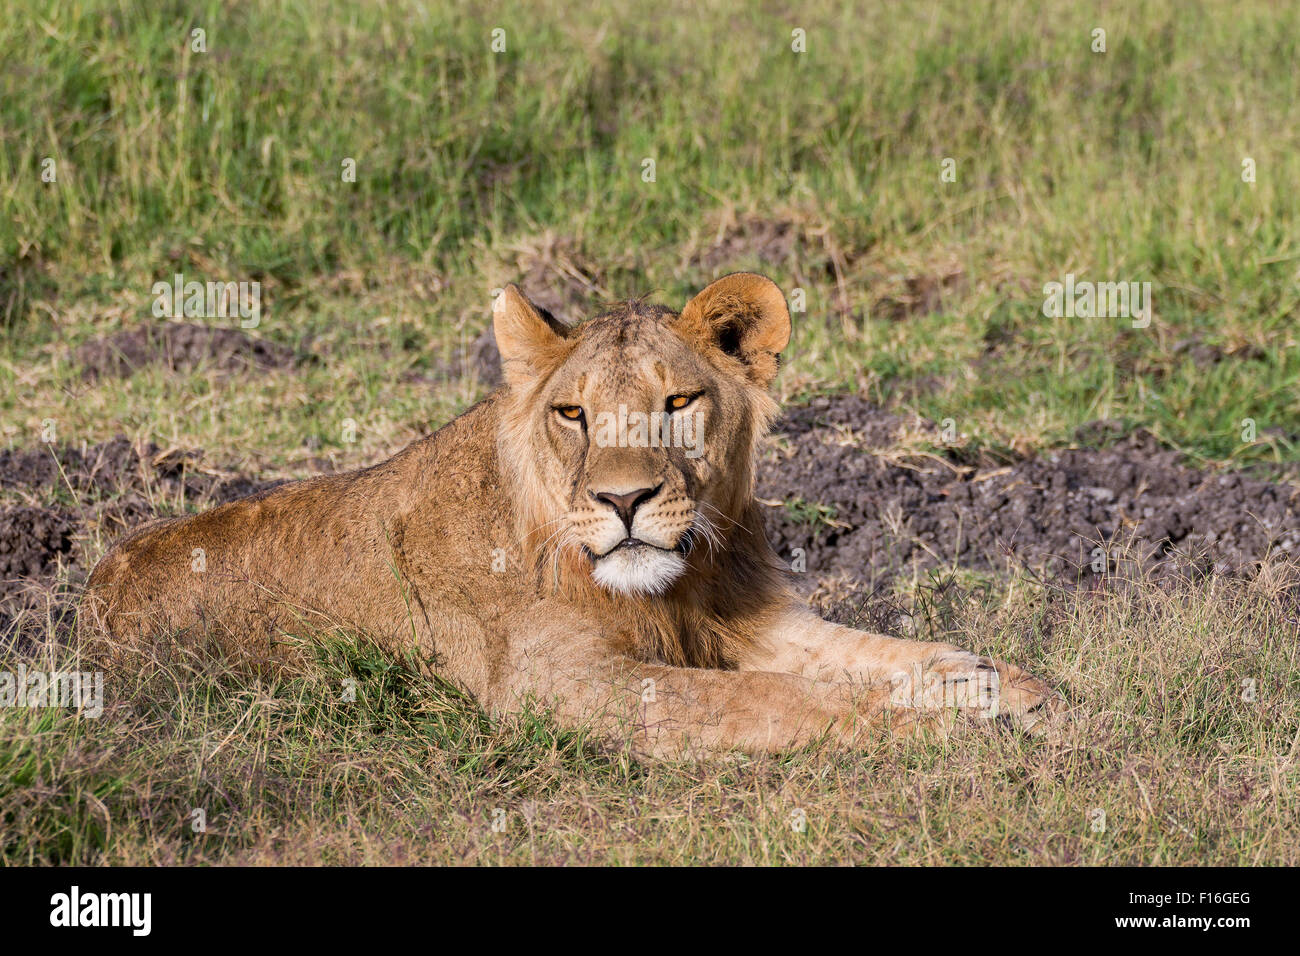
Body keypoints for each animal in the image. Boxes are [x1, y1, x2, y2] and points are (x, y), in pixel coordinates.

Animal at [80, 273, 1059, 757]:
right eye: (573, 413)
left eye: (677, 402)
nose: (623, 500)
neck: (672, 589)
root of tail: (92, 586)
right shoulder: (562, 686)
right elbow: (773, 698)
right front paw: (948, 726)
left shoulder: (757, 619)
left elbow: (879, 653)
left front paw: (1001, 686)